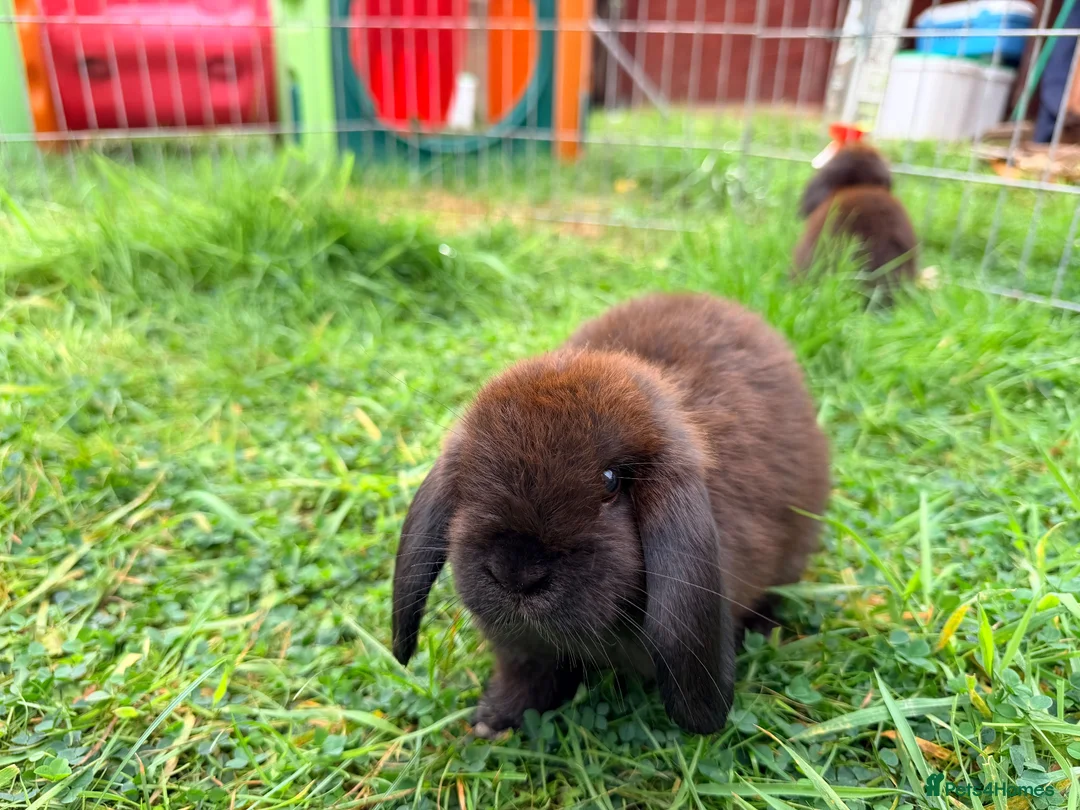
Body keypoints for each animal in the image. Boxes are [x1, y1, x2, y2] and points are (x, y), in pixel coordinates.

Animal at [391, 293, 830, 737]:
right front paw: (492, 723)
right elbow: (526, 679)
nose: (517, 573)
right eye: (470, 474)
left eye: (611, 481)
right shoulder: (521, 649)